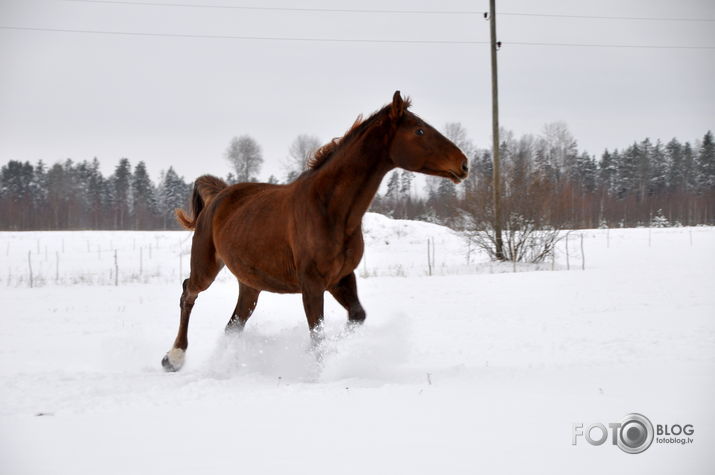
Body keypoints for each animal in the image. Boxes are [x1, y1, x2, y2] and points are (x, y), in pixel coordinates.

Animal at [161, 90, 470, 372]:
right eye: (419, 130)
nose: (464, 164)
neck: (331, 210)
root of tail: (218, 196)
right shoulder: (312, 284)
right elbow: (318, 334)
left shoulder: (341, 278)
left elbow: (356, 316)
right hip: (206, 267)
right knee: (188, 293)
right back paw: (173, 358)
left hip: (250, 284)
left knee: (234, 325)